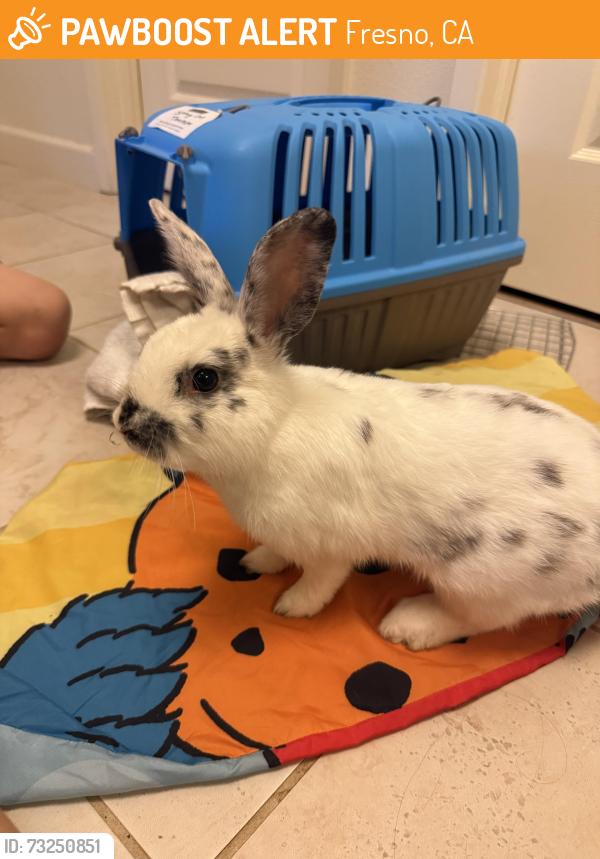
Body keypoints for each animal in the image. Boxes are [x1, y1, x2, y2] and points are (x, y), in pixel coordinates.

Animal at [113, 199, 600, 651]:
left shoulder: (331, 548)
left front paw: (291, 606)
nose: (125, 421)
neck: (273, 428)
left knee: (478, 619)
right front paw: (258, 562)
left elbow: (320, 581)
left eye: (204, 378)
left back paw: (406, 625)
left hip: (480, 577)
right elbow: (276, 552)